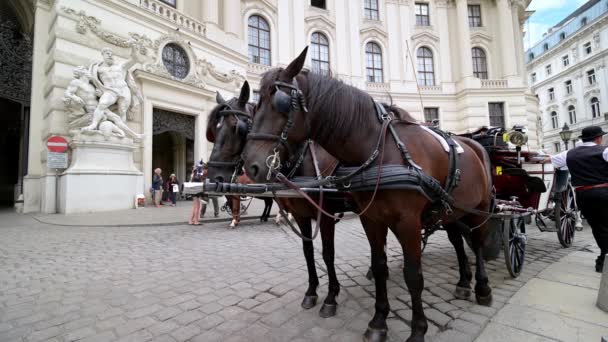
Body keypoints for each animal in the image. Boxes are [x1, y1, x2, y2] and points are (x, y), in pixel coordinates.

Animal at [207, 81, 354, 316]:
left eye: (237, 127)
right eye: (214, 130)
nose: (214, 177)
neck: (303, 161)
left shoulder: (326, 216)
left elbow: (328, 254)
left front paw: (331, 296)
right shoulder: (302, 215)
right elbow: (308, 251)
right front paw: (311, 291)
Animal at [242, 48, 494, 342]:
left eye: (280, 103)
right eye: (255, 104)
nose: (251, 165)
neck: (381, 149)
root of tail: (472, 141)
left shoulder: (406, 222)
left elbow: (413, 275)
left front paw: (417, 329)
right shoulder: (371, 219)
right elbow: (379, 264)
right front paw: (379, 321)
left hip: (482, 208)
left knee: (478, 242)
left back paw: (483, 288)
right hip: (451, 210)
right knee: (457, 241)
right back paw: (464, 281)